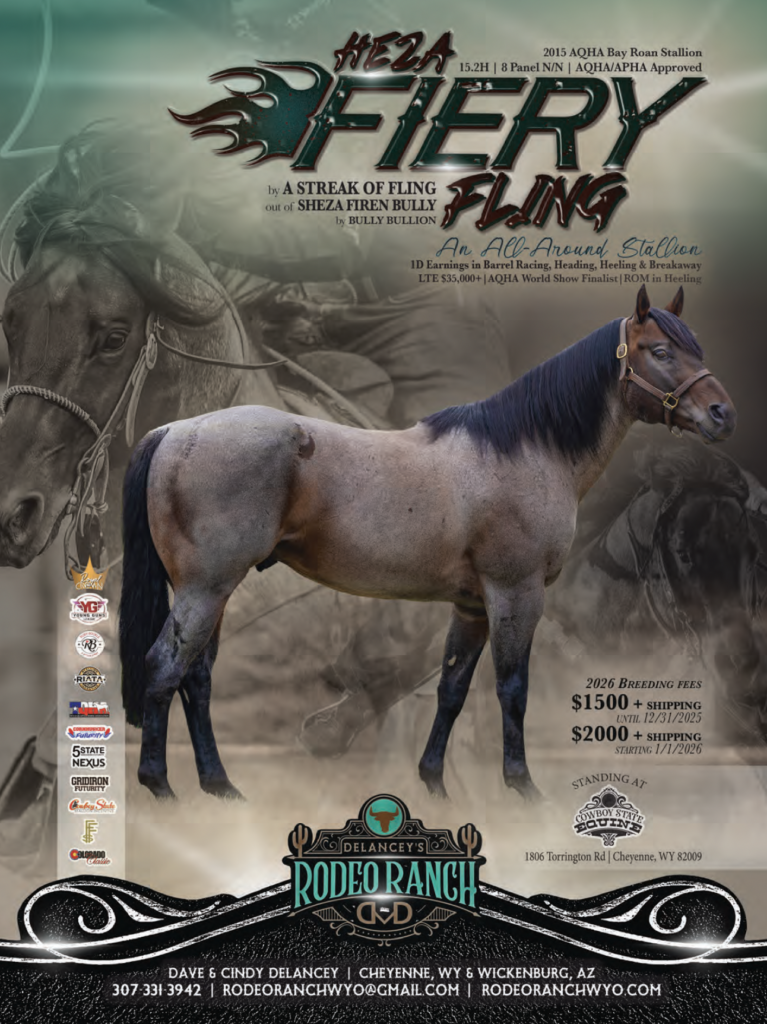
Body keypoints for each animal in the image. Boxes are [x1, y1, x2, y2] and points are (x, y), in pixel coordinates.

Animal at [118, 285, 736, 802]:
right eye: (660, 351)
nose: (723, 415)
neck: (526, 451)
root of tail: (175, 430)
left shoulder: (472, 605)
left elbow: (452, 688)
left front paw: (433, 782)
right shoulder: (516, 595)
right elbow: (512, 688)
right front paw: (523, 788)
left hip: (215, 592)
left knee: (196, 678)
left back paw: (220, 787)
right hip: (206, 588)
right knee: (163, 668)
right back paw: (161, 787)